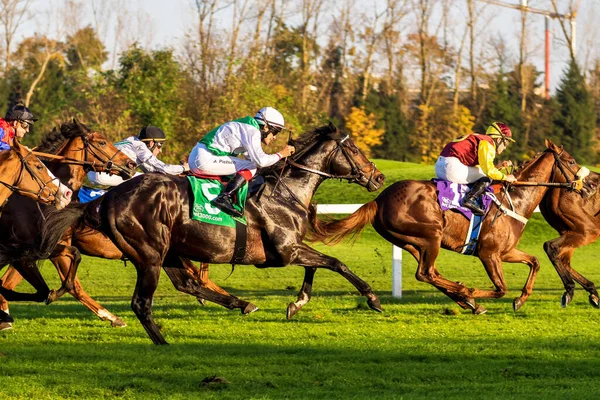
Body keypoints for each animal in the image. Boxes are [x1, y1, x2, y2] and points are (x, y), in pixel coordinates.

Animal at [304, 140, 584, 316]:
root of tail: (379, 199)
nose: (586, 184)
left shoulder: (505, 252)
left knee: (430, 273)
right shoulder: (489, 254)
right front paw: (473, 292)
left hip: (412, 242)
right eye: (570, 161)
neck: (514, 199)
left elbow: (534, 262)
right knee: (425, 273)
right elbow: (500, 288)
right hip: (431, 235)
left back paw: (465, 299)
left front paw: (521, 299)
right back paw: (465, 294)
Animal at [540, 171, 600, 306]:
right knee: (552, 247)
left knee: (562, 259)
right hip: (585, 231)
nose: (589, 188)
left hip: (570, 233)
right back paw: (573, 289)